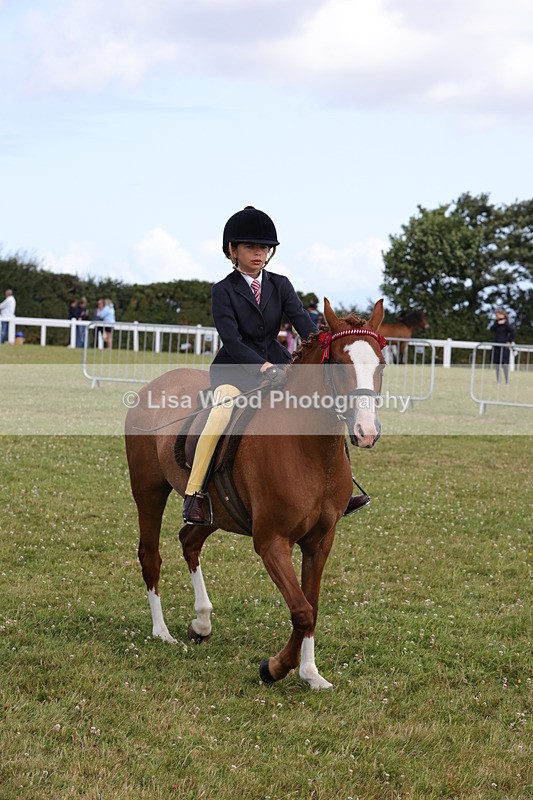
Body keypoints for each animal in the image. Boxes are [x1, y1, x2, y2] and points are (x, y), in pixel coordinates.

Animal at [124, 298, 385, 690]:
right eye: (339, 363)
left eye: (381, 363)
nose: (365, 432)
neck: (311, 450)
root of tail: (154, 384)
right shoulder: (271, 541)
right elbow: (302, 610)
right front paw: (275, 667)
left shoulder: (320, 541)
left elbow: (312, 606)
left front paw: (310, 674)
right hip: (149, 492)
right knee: (150, 556)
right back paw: (162, 632)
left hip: (217, 511)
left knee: (189, 540)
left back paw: (202, 622)